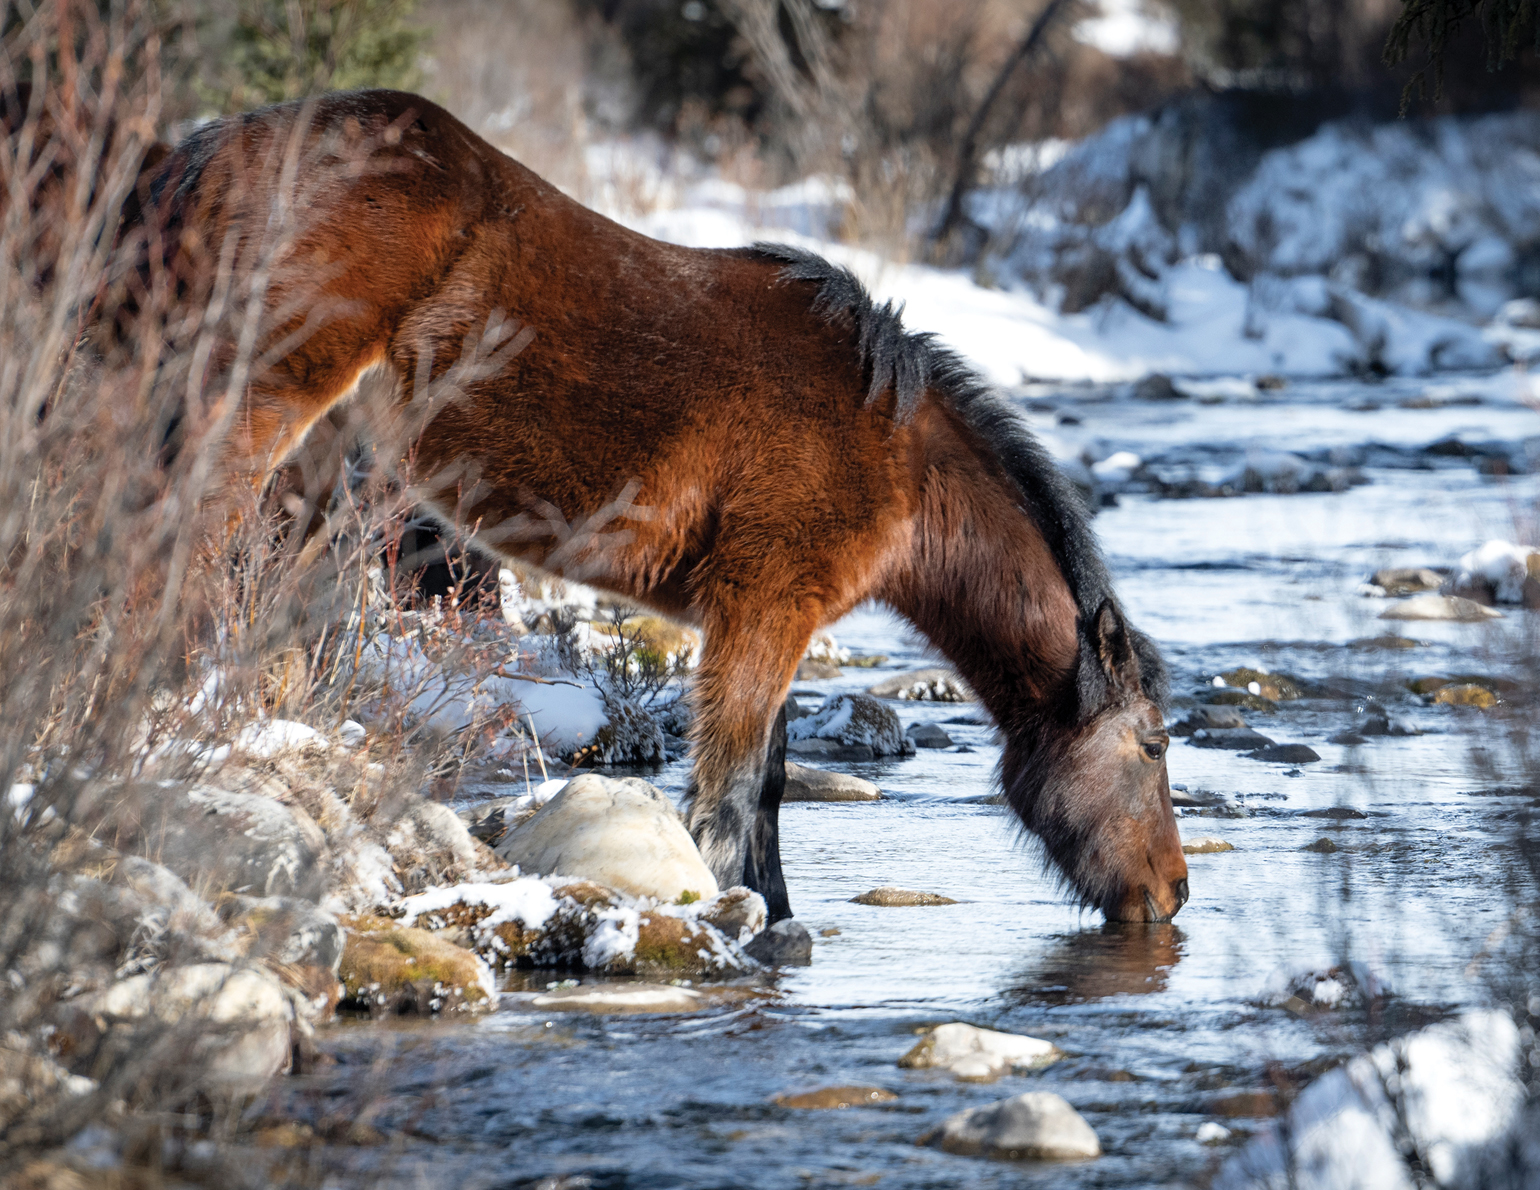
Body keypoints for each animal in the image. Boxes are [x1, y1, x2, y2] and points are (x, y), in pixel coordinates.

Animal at [111, 90, 1188, 929]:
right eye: (1152, 744)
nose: (1173, 893)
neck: (897, 454)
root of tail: (216, 141)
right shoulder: (764, 611)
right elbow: (734, 791)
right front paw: (742, 918)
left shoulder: (764, 616)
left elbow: (766, 786)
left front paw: (773, 913)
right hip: (253, 412)